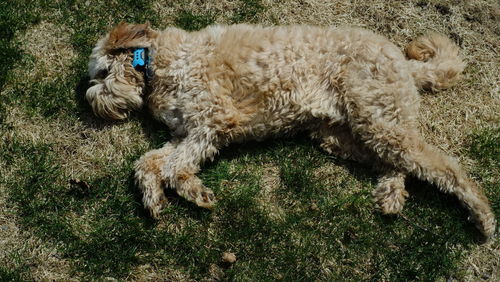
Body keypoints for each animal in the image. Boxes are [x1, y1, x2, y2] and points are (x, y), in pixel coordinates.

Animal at [86, 22, 496, 239]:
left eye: (101, 74)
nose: (94, 106)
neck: (159, 66)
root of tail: (402, 60)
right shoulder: (184, 133)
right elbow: (148, 163)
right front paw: (154, 198)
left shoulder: (212, 121)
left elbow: (172, 167)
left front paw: (193, 191)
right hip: (346, 133)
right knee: (393, 164)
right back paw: (391, 196)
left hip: (380, 122)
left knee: (447, 167)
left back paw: (483, 216)